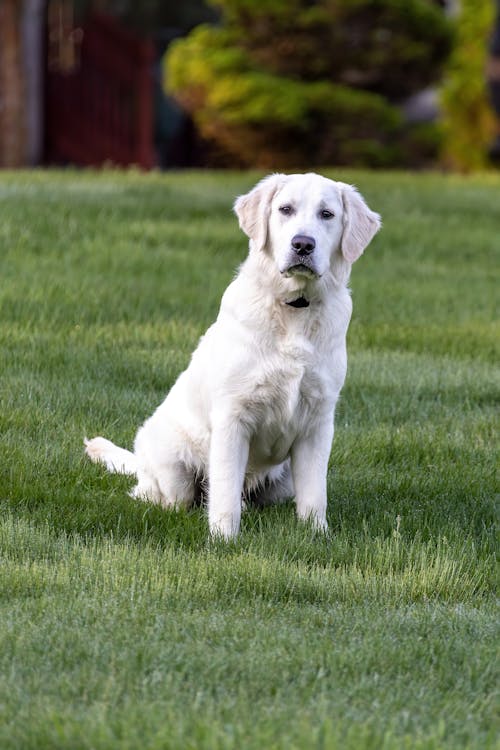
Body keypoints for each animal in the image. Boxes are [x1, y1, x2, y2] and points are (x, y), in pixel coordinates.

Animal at [84, 173, 380, 536]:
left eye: (327, 214)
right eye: (285, 209)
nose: (302, 245)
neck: (294, 309)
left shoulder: (318, 421)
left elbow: (314, 495)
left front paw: (316, 535)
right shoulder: (232, 416)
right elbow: (224, 489)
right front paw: (223, 538)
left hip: (283, 479)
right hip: (172, 467)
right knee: (162, 495)